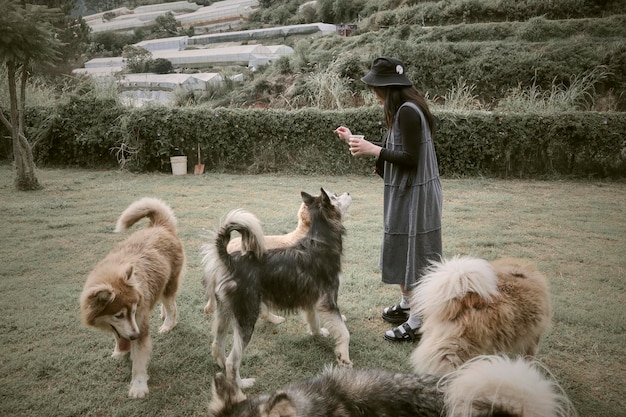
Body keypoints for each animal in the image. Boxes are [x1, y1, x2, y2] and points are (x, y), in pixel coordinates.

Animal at [79, 197, 184, 398]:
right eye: (118, 315)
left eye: (134, 311)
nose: (135, 336)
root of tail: (159, 226)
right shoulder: (120, 326)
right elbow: (118, 336)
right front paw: (119, 352)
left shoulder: (141, 325)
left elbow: (139, 362)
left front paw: (138, 386)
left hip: (169, 285)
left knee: (172, 306)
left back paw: (168, 324)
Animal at [204, 188, 352, 386]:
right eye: (335, 196)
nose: (348, 192)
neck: (321, 241)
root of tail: (230, 260)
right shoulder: (329, 301)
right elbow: (344, 332)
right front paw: (344, 358)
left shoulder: (312, 300)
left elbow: (314, 321)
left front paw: (318, 333)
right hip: (247, 318)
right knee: (232, 361)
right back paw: (241, 384)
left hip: (225, 313)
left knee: (217, 344)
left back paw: (221, 368)